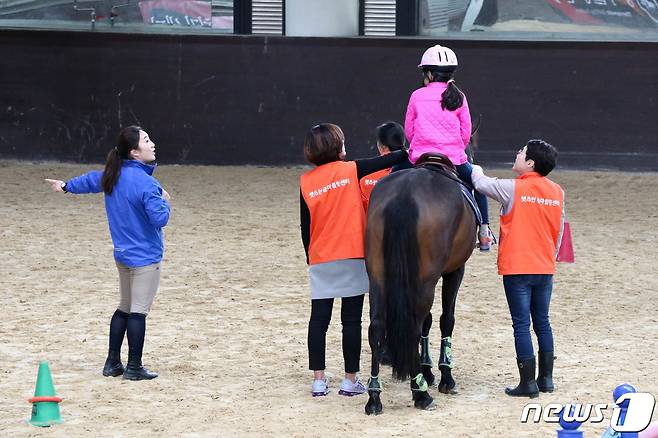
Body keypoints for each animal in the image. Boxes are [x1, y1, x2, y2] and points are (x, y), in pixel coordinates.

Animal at [362, 161, 474, 414]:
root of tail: (404, 195)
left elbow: (428, 321)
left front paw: (427, 370)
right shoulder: (455, 270)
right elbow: (446, 320)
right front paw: (444, 376)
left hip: (378, 277)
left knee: (377, 328)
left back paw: (374, 396)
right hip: (425, 280)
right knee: (413, 327)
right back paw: (421, 394)